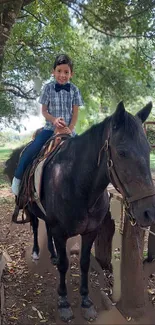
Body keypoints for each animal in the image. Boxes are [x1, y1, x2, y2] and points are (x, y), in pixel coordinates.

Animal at [4, 102, 155, 322]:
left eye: (148, 149)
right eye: (122, 152)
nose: (149, 212)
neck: (77, 184)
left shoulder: (90, 232)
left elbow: (83, 263)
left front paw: (86, 301)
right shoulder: (60, 232)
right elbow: (64, 265)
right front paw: (64, 303)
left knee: (46, 229)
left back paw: (52, 254)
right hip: (30, 209)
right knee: (35, 226)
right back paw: (36, 252)